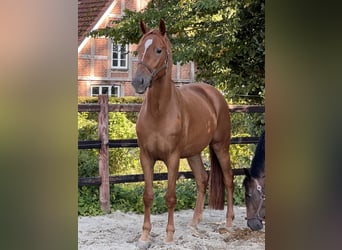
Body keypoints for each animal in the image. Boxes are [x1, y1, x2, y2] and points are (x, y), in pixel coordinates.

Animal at [132, 19, 235, 246]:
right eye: (138, 49)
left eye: (158, 50)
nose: (138, 82)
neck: (159, 111)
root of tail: (214, 94)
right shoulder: (146, 156)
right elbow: (148, 195)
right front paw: (144, 236)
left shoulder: (172, 158)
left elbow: (170, 197)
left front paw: (169, 235)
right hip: (194, 153)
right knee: (202, 179)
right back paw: (194, 223)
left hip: (221, 146)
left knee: (228, 179)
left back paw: (229, 222)